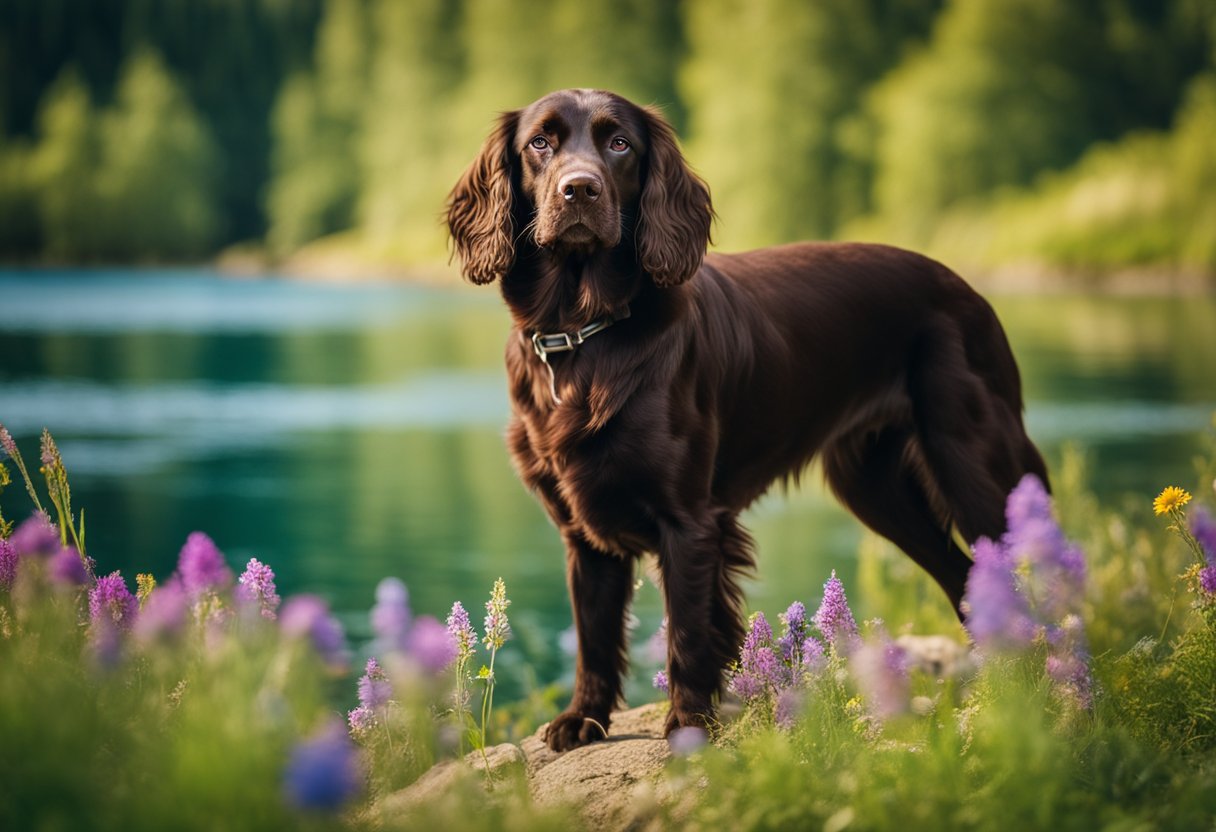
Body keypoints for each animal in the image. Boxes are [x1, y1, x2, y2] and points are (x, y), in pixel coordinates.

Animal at [445, 87, 1045, 749]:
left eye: (619, 143)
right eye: (540, 143)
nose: (580, 189)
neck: (584, 336)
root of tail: (970, 288)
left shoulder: (690, 521)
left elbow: (688, 633)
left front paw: (688, 728)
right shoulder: (584, 533)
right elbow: (595, 638)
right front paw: (585, 719)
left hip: (974, 465)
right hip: (874, 488)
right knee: (964, 578)